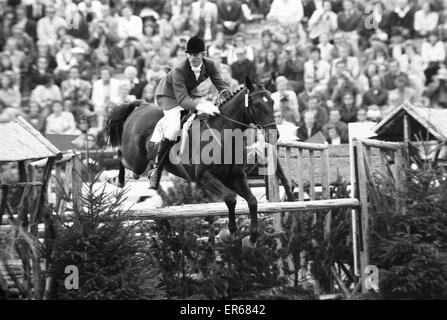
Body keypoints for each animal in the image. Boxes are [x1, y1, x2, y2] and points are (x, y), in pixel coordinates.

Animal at [105, 78, 288, 248]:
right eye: (257, 105)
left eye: (272, 102)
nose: (274, 134)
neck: (224, 134)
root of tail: (140, 107)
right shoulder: (205, 178)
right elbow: (230, 198)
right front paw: (229, 233)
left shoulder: (235, 176)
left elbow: (252, 201)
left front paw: (251, 239)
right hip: (136, 159)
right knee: (121, 156)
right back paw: (117, 181)